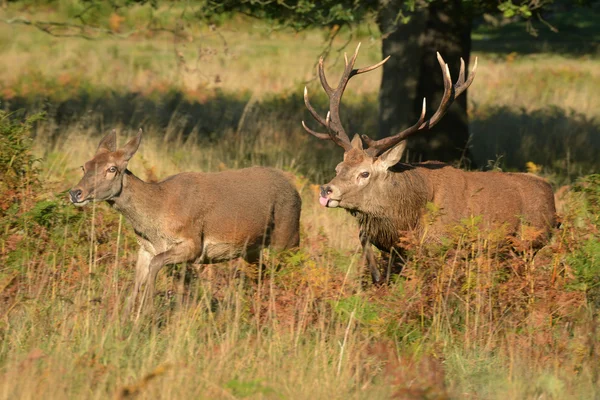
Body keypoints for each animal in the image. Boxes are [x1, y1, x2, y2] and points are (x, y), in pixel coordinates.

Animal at [71, 130, 302, 320]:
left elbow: (157, 263)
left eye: (112, 168)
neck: (154, 219)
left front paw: (147, 313)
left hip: (287, 236)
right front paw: (121, 319)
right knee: (261, 274)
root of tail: (297, 192)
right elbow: (137, 280)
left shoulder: (193, 243)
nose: (75, 193)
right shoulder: (145, 247)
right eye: (85, 165)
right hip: (252, 249)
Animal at [304, 43, 556, 284]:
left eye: (364, 173)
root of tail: (551, 196)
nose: (326, 189)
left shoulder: (446, 247)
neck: (407, 219)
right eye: (338, 168)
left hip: (530, 241)